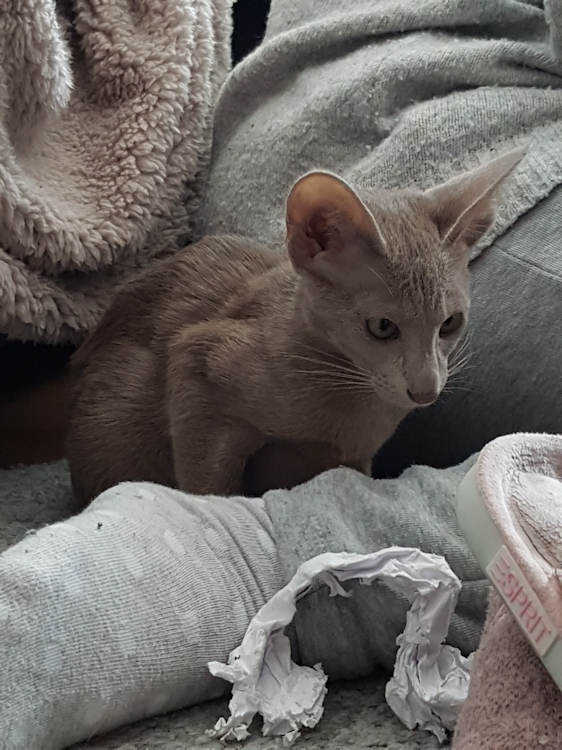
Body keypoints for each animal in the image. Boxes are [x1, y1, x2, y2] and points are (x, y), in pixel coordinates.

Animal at [67, 148, 524, 503]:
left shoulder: (354, 457)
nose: (426, 390)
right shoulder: (198, 361)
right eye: (381, 327)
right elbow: (208, 485)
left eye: (450, 323)